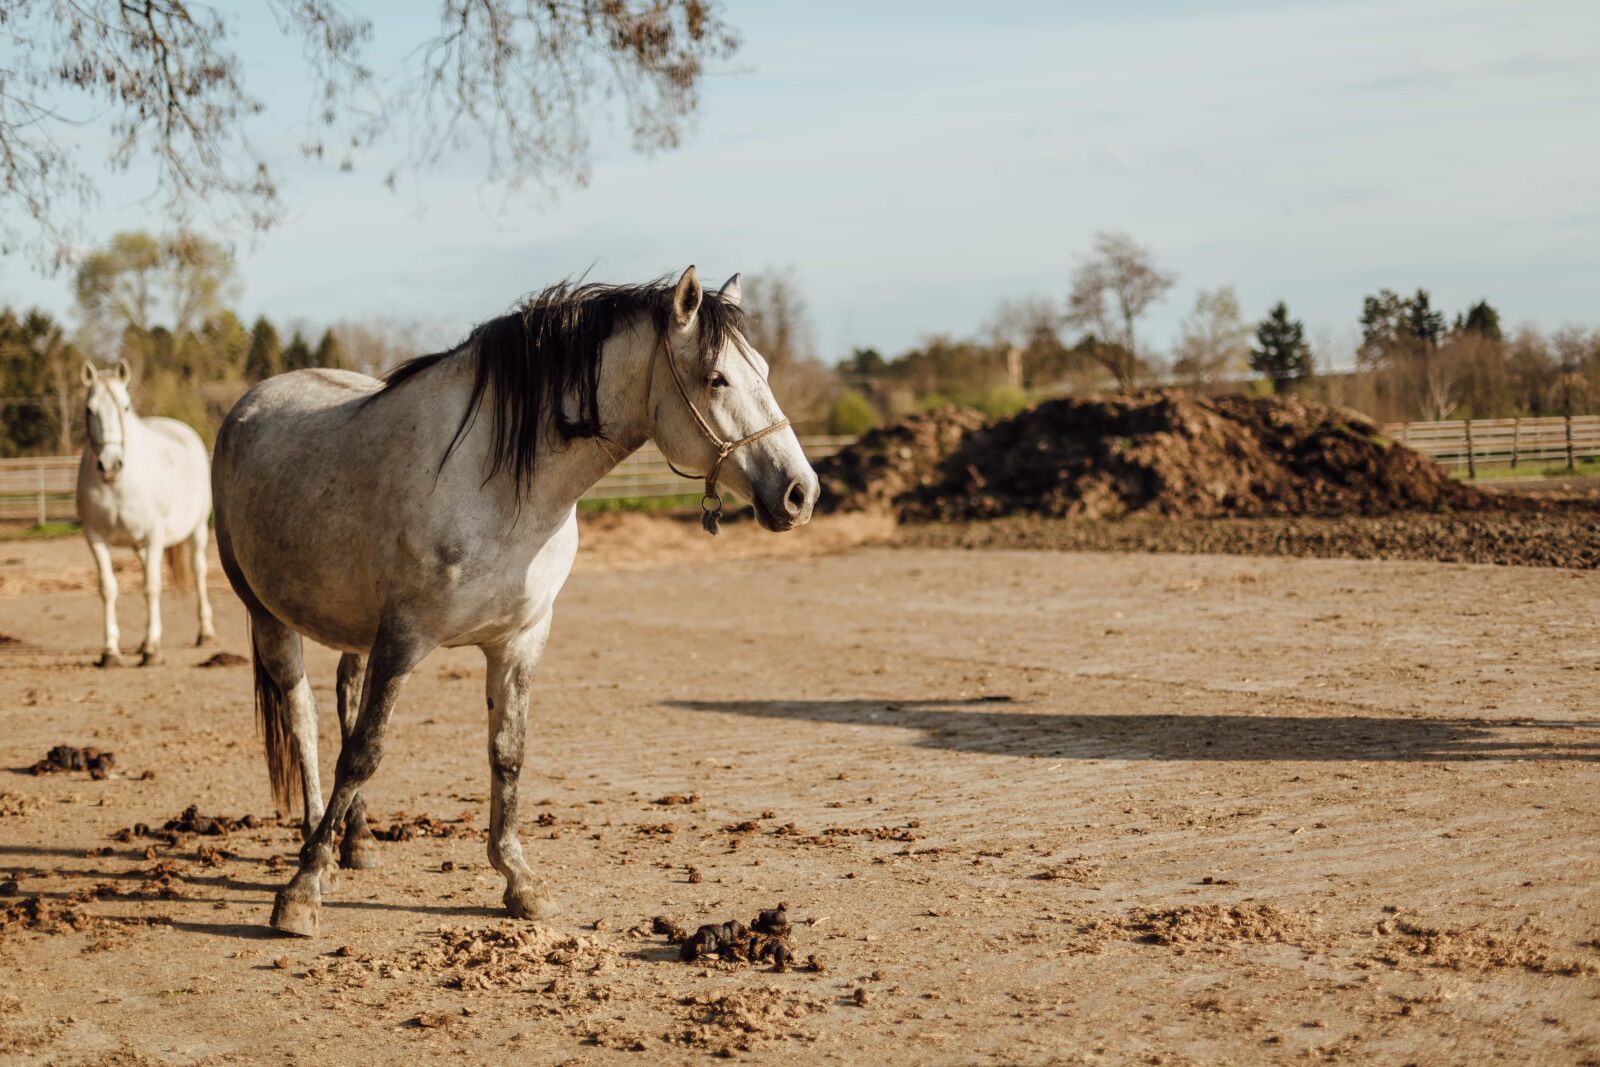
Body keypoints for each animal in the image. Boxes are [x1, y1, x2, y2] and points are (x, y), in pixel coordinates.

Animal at [77, 358, 217, 667]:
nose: (110, 464)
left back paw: (205, 633)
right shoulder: (95, 538)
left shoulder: (154, 536)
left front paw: (152, 650)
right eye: (89, 409)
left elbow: (151, 587)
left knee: (199, 572)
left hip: (198, 529)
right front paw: (110, 651)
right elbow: (108, 588)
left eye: (126, 406)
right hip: (139, 546)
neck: (118, 485)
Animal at [212, 267, 819, 937]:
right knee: (305, 722)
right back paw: (314, 843)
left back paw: (359, 841)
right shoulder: (402, 639)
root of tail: (249, 404)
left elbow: (507, 754)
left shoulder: (518, 642)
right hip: (269, 619)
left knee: (342, 703)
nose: (800, 492)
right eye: (716, 378)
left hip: (352, 630)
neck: (498, 481)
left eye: (763, 369)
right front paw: (302, 893)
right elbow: (363, 755)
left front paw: (520, 882)